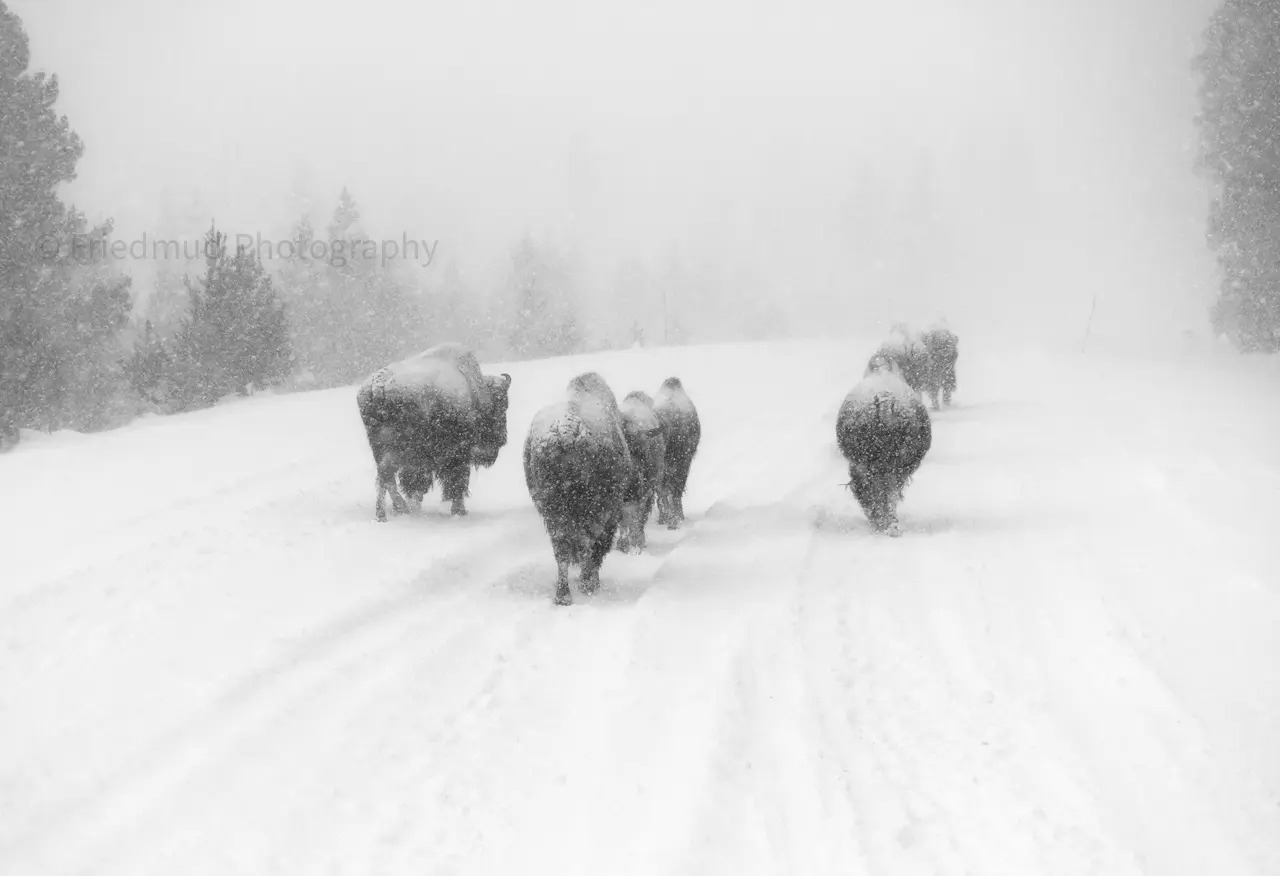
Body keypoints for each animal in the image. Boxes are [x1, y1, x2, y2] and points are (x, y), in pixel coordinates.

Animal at [358, 343, 512, 519]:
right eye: (503, 405)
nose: (502, 438)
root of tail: (379, 384)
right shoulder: (458, 455)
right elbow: (457, 480)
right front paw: (459, 510)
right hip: (401, 450)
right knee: (389, 475)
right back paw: (394, 510)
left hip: (379, 447)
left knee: (384, 478)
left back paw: (391, 511)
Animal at [524, 368, 634, 601]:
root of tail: (566, 433)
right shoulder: (609, 515)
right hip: (592, 511)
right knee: (586, 544)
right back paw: (585, 584)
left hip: (553, 511)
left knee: (561, 550)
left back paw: (563, 595)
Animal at [611, 391, 665, 553]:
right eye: (622, 451)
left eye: (642, 451)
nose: (634, 479)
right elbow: (624, 520)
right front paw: (622, 545)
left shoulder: (644, 492)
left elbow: (637, 518)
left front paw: (637, 542)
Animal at [829, 353, 931, 532]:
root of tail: (885, 402)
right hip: (891, 463)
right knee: (885, 490)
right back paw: (887, 523)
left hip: (868, 462)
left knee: (872, 490)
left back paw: (881, 521)